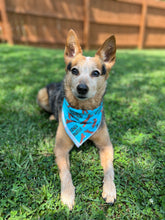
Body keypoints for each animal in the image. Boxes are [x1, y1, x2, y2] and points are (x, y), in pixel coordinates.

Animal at [37, 29, 116, 210]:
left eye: (96, 73)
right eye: (74, 71)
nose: (82, 88)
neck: (83, 111)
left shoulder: (106, 145)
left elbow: (109, 169)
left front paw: (110, 190)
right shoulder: (61, 148)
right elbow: (66, 173)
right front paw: (67, 194)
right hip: (41, 94)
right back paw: (52, 116)